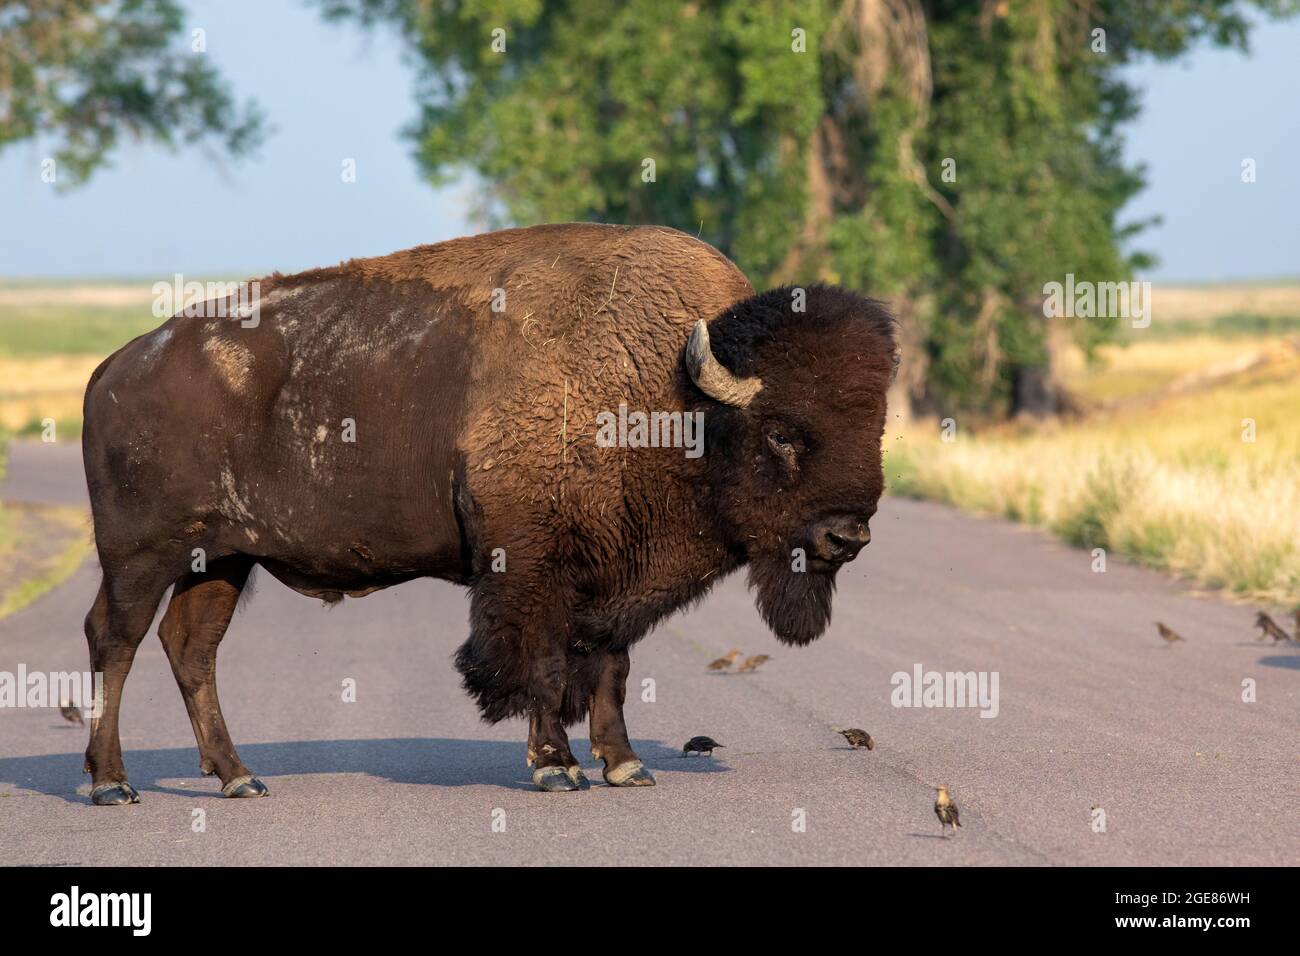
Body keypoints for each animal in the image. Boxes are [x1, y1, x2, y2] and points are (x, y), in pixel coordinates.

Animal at [81, 223, 894, 801]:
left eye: (876, 426)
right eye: (782, 432)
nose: (847, 536)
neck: (671, 397)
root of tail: (116, 367)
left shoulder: (611, 578)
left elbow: (610, 665)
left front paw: (625, 764)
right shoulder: (532, 569)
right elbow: (542, 662)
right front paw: (556, 767)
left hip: (219, 560)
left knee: (191, 649)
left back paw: (238, 777)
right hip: (141, 557)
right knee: (114, 640)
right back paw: (112, 783)